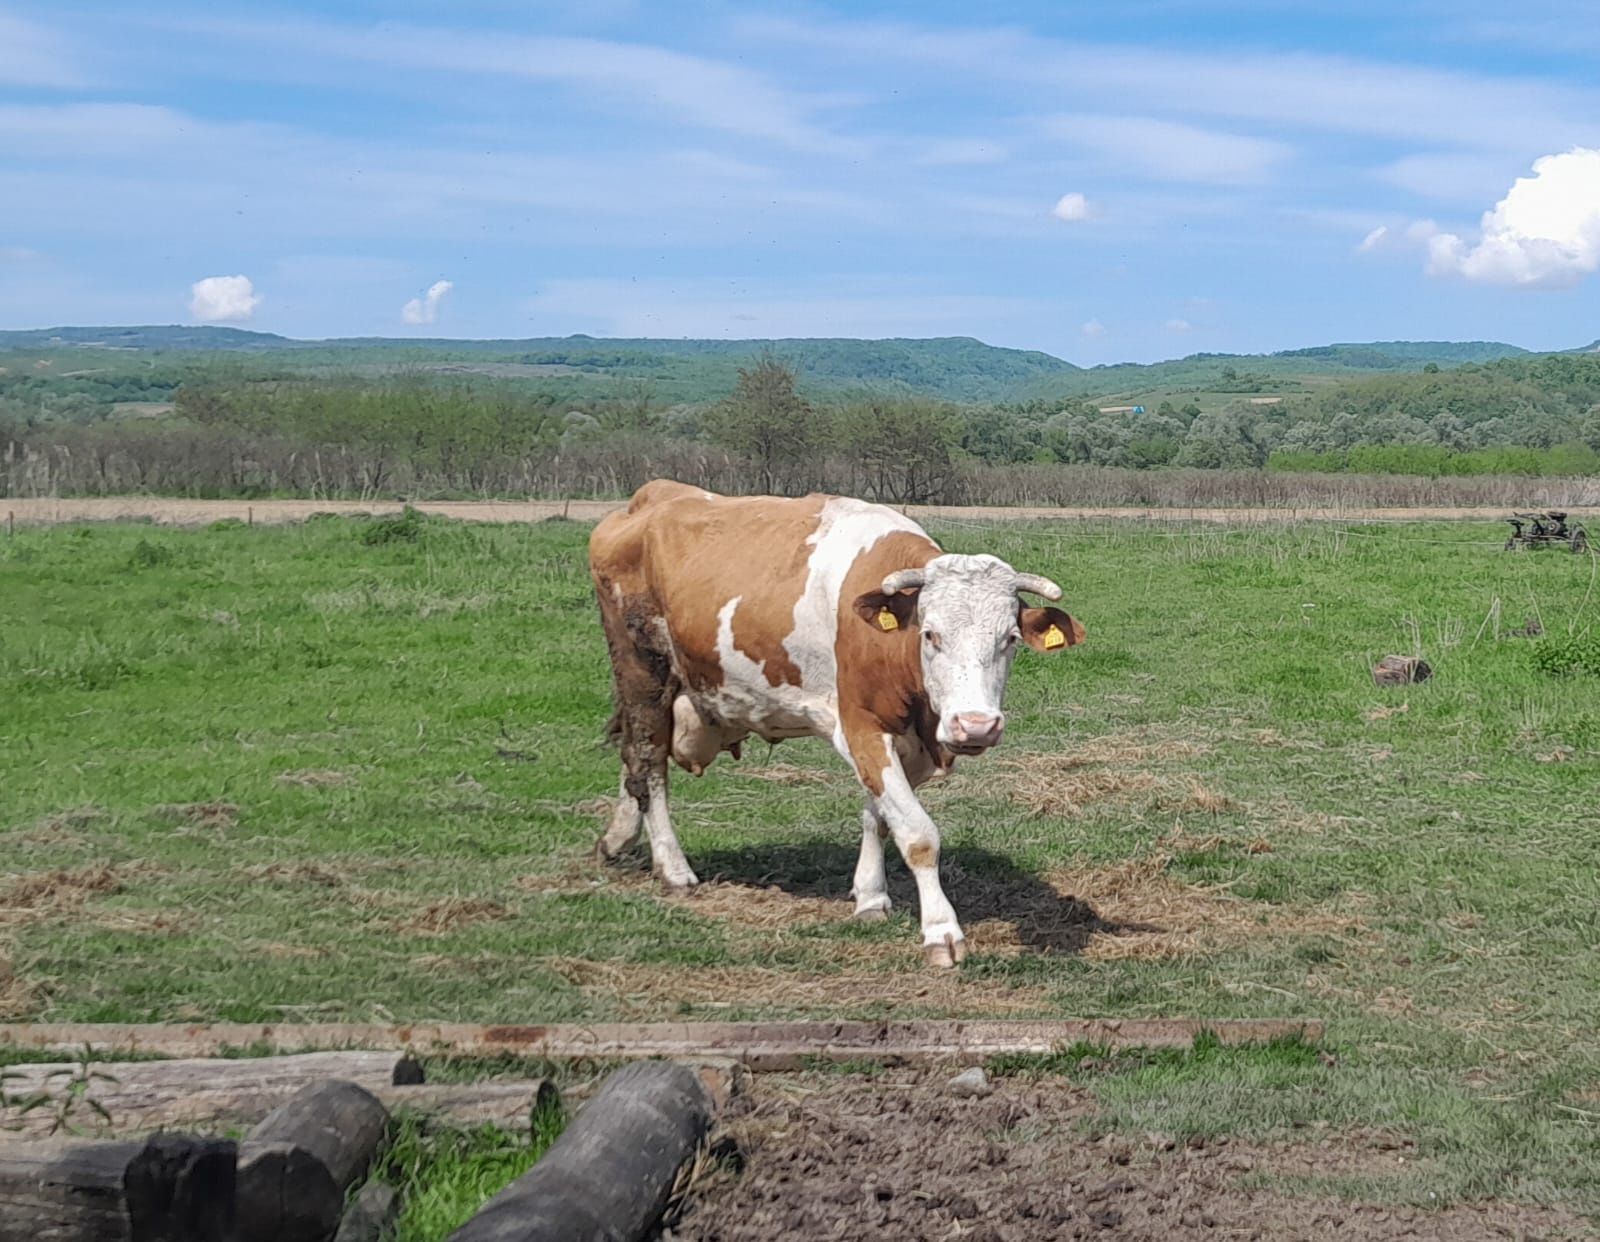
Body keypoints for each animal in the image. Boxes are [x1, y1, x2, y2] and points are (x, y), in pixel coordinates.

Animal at [588, 480, 1088, 966]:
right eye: (931, 634)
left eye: (1010, 638)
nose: (976, 725)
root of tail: (651, 497)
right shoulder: (859, 725)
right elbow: (918, 833)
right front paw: (941, 931)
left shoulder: (907, 743)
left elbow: (880, 816)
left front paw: (870, 896)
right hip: (642, 668)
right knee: (649, 759)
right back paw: (673, 867)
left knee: (635, 761)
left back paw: (617, 839)